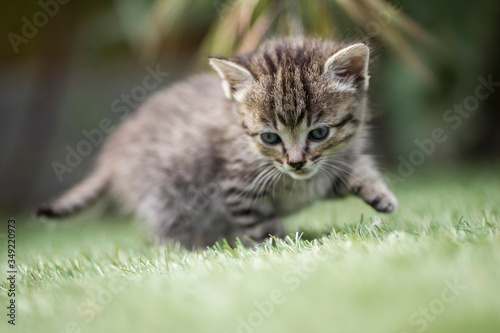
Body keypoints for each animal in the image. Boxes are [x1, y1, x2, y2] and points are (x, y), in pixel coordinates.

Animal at [37, 37, 398, 248]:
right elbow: (262, 225)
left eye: (319, 133)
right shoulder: (234, 188)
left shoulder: (327, 170)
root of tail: (112, 155)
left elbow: (353, 169)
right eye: (269, 137)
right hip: (168, 194)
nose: (296, 162)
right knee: (167, 228)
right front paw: (286, 244)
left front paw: (379, 193)